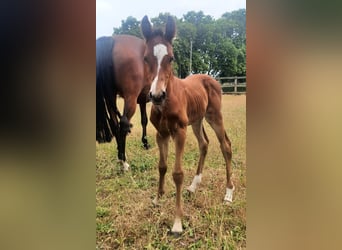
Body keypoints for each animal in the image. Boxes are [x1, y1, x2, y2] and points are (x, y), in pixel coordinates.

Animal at [95, 34, 150, 170]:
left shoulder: (142, 100)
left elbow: (144, 120)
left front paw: (145, 142)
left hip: (111, 96)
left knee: (115, 124)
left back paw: (120, 156)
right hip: (130, 98)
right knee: (124, 123)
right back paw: (124, 162)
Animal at [140, 16, 234, 234]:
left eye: (171, 58)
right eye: (146, 58)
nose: (157, 95)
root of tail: (211, 78)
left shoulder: (179, 132)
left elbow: (177, 173)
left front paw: (177, 222)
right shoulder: (161, 134)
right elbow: (162, 166)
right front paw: (157, 199)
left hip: (214, 116)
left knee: (225, 145)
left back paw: (228, 193)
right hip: (197, 120)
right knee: (204, 143)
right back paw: (193, 186)